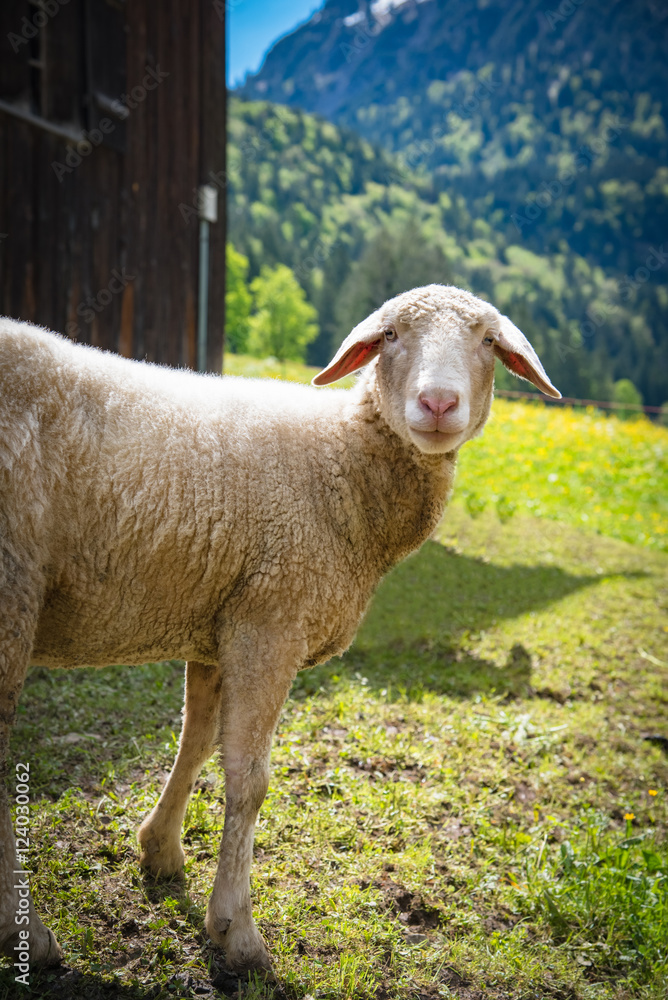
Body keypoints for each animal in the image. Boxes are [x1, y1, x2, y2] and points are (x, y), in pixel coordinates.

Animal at [0, 284, 560, 975]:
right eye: (392, 335)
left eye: (487, 341)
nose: (437, 404)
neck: (341, 464)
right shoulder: (272, 622)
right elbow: (250, 779)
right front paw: (235, 930)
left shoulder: (219, 624)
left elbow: (195, 743)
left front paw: (161, 850)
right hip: (12, 591)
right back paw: (28, 933)